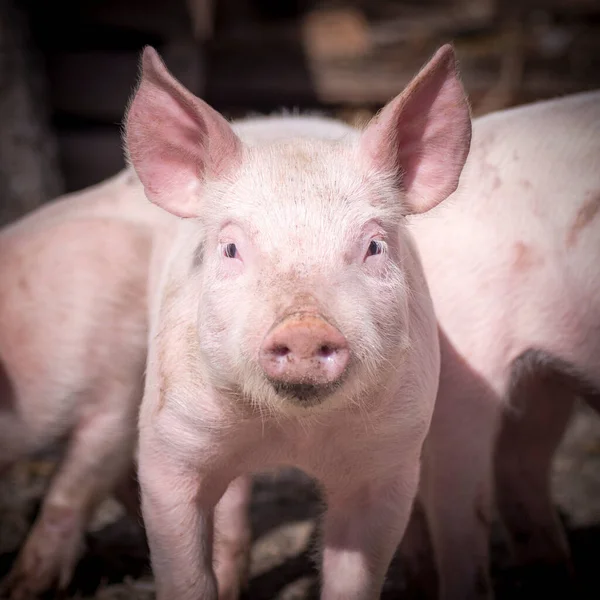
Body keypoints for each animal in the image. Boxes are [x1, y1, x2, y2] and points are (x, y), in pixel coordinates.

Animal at [125, 43, 474, 600]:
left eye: (374, 246)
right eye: (230, 248)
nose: (305, 328)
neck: (293, 434)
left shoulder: (390, 460)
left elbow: (353, 573)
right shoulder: (167, 446)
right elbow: (185, 571)